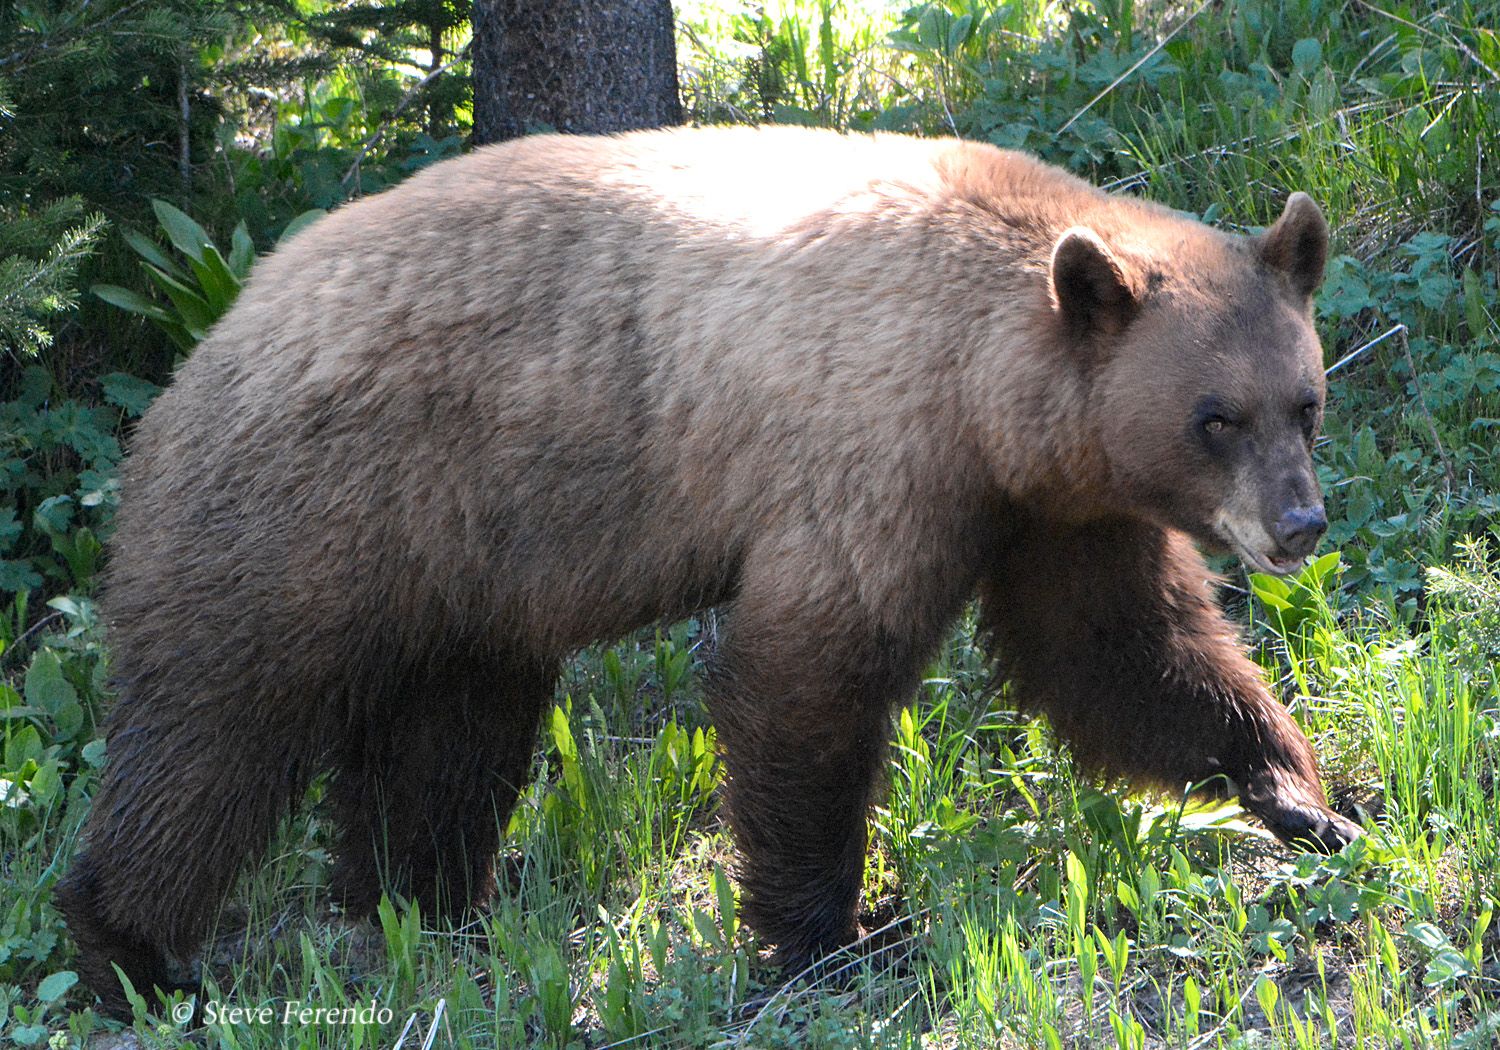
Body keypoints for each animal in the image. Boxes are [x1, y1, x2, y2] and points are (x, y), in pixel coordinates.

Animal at [57, 126, 1361, 1016]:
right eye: (1213, 418)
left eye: (1304, 399)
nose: (1298, 524)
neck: (985, 382)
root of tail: (207, 340)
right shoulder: (872, 454)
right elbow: (807, 677)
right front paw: (837, 936)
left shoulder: (1056, 509)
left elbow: (1121, 650)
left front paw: (1304, 795)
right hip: (313, 512)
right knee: (215, 728)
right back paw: (132, 950)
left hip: (463, 571)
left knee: (446, 744)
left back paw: (428, 910)